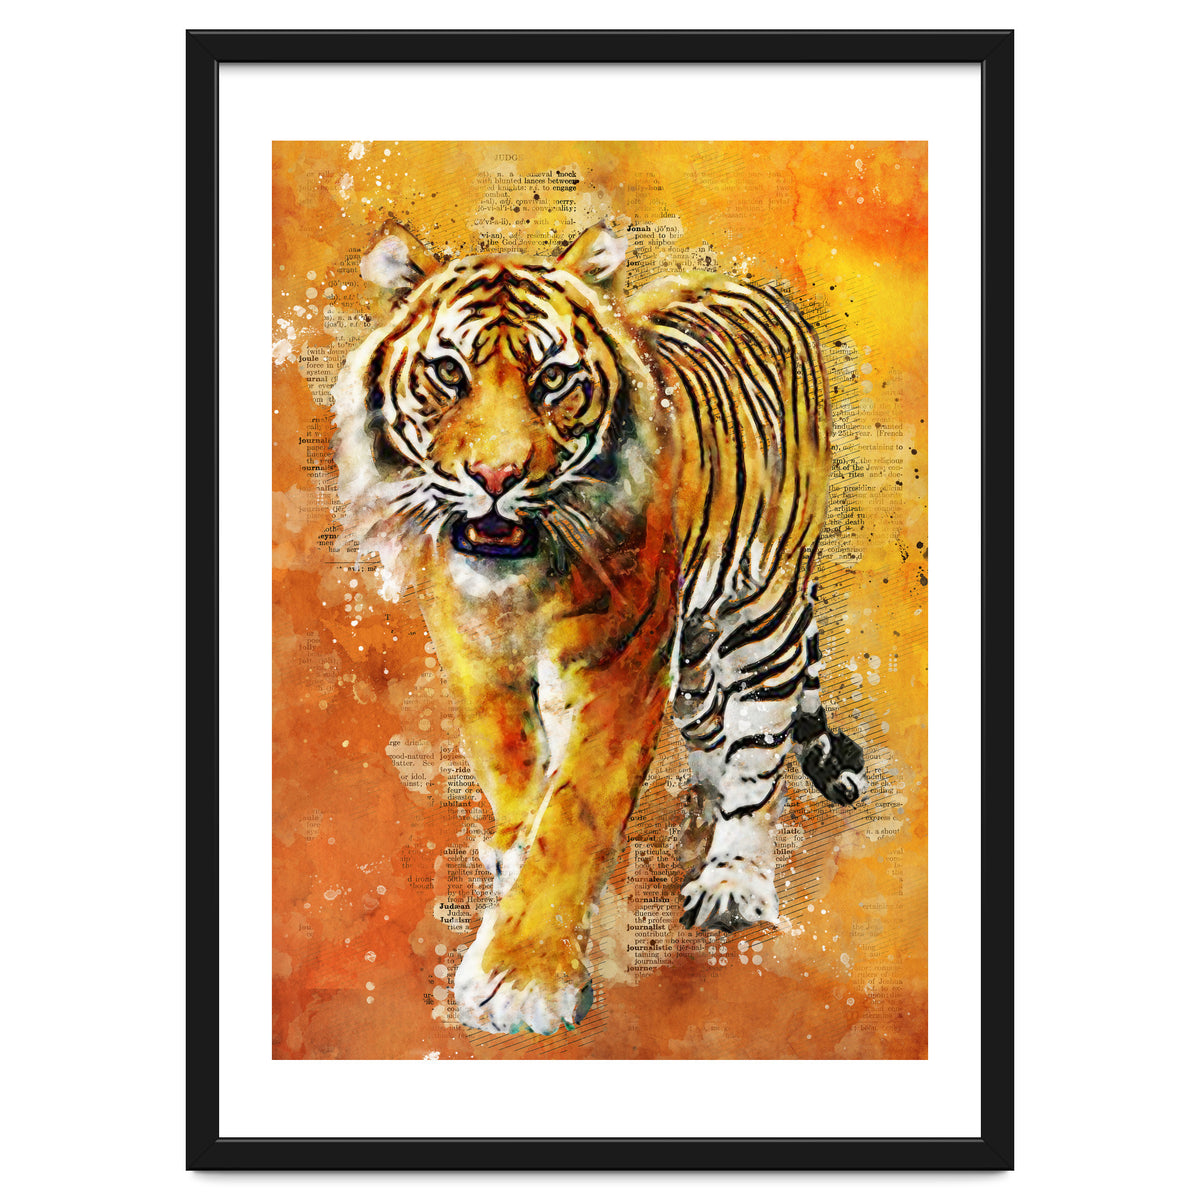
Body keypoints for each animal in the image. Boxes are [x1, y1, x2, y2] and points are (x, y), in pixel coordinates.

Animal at [331, 220, 866, 1036]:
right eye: (449, 373)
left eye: (553, 379)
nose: (496, 477)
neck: (519, 585)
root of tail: (750, 283)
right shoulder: (474, 652)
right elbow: (512, 767)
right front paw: (513, 851)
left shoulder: (620, 667)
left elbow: (576, 814)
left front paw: (523, 978)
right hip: (697, 650)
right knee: (712, 729)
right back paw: (701, 809)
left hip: (761, 611)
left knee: (759, 751)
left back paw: (733, 877)